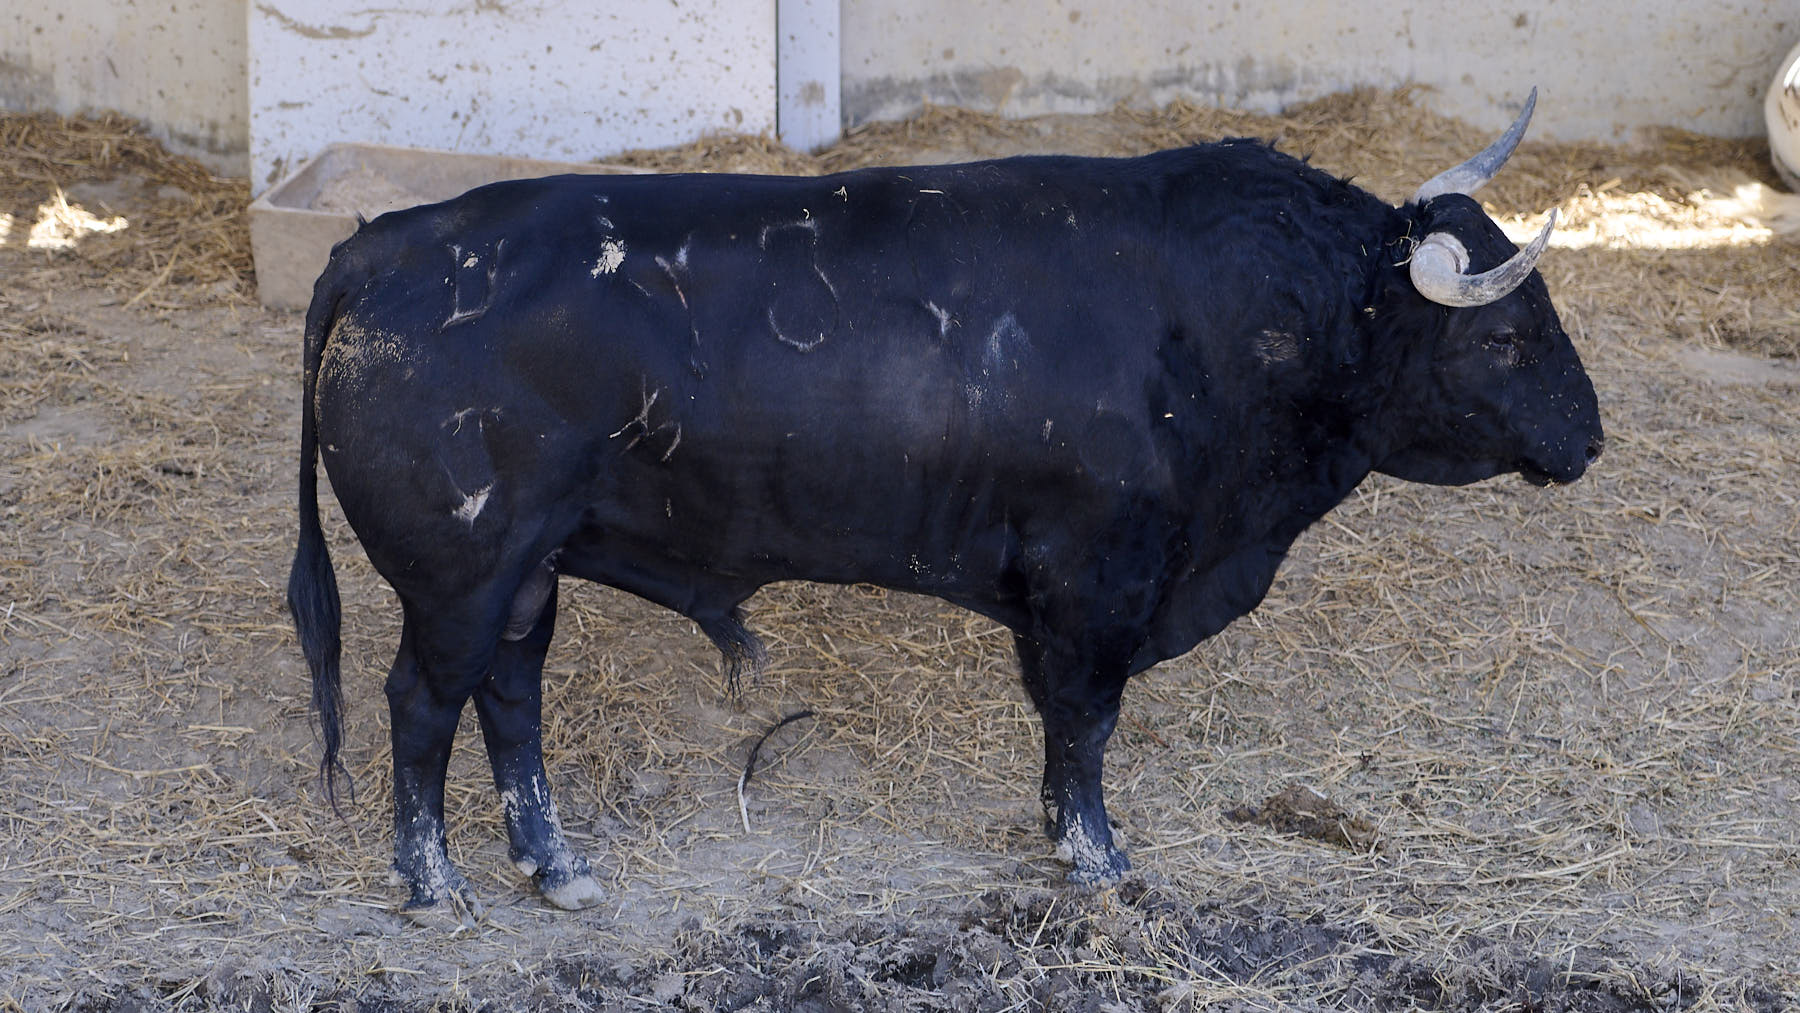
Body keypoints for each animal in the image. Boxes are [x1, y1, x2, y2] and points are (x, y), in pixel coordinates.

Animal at [291, 97, 1605, 921]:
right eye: (1501, 335)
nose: (1589, 436)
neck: (1232, 312)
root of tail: (384, 246)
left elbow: (1068, 728)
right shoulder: (1096, 579)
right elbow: (1083, 724)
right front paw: (1097, 857)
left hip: (527, 573)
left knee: (509, 700)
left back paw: (554, 866)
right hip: (461, 572)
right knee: (422, 704)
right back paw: (434, 886)